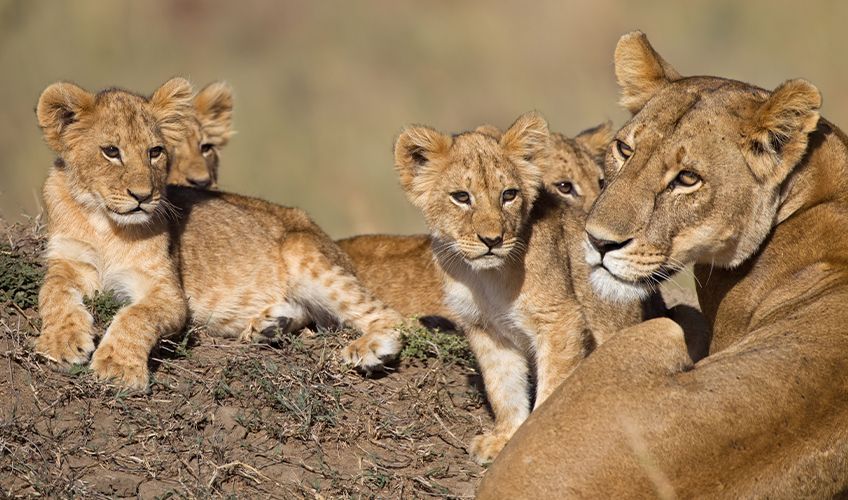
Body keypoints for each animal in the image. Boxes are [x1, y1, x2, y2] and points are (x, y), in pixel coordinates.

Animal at [34, 78, 194, 389]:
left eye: (154, 152)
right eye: (111, 151)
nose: (143, 196)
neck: (106, 226)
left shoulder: (167, 291)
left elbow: (138, 316)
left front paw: (117, 367)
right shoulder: (69, 261)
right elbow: (53, 292)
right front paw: (62, 341)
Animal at [393, 112, 655, 464]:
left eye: (509, 195)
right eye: (461, 197)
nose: (492, 240)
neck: (485, 277)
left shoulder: (561, 319)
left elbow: (552, 385)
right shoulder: (487, 329)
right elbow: (503, 388)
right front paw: (503, 439)